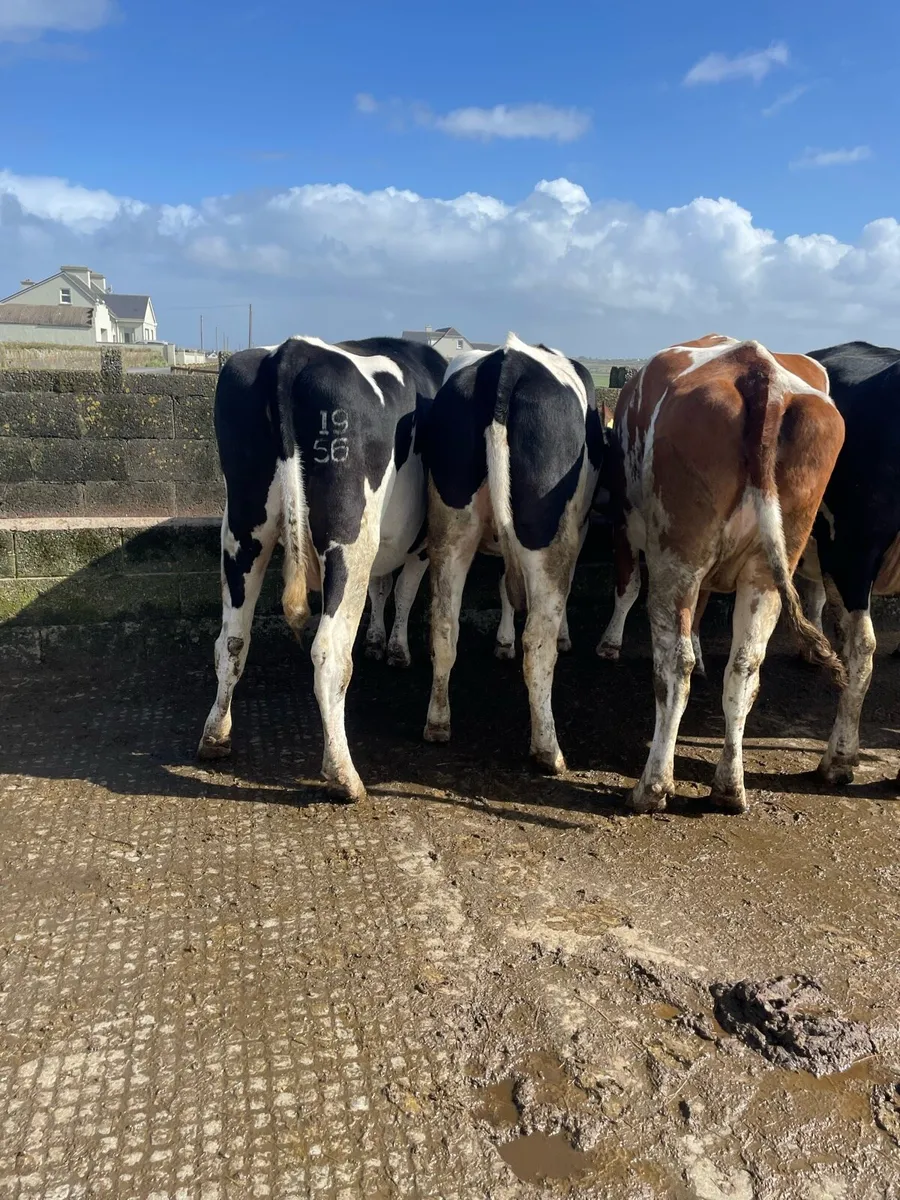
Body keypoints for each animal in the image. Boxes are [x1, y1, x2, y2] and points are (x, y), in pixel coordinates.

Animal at [197, 335, 446, 802]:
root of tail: (292, 350)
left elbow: (382, 589)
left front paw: (377, 641)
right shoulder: (423, 543)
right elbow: (403, 592)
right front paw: (397, 649)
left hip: (243, 530)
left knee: (232, 640)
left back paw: (215, 736)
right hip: (351, 535)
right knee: (329, 653)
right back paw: (344, 775)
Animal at [422, 332, 603, 773]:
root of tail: (505, 364)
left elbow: (504, 584)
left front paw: (502, 641)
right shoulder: (580, 525)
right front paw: (563, 636)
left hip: (450, 524)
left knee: (444, 623)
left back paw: (438, 723)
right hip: (547, 532)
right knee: (537, 641)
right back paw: (548, 749)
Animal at [596, 334, 846, 814]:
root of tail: (758, 372)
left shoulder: (624, 524)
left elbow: (627, 586)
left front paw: (609, 644)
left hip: (678, 556)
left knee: (674, 667)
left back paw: (652, 787)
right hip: (767, 571)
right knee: (745, 666)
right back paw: (729, 787)